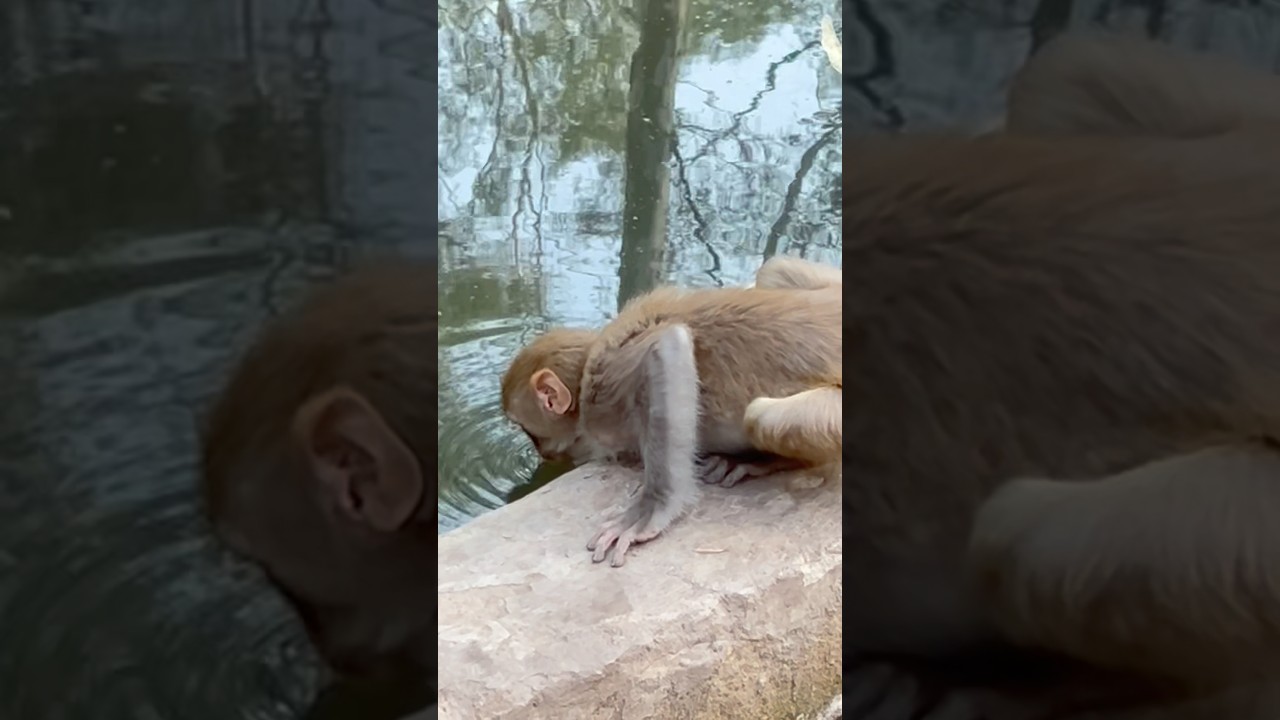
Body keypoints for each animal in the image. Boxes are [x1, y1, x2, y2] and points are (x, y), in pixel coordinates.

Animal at [500, 258, 841, 567]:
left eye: (528, 431)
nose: (541, 453)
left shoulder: (603, 391)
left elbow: (668, 347)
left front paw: (651, 510)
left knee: (761, 417)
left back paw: (761, 460)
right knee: (772, 268)